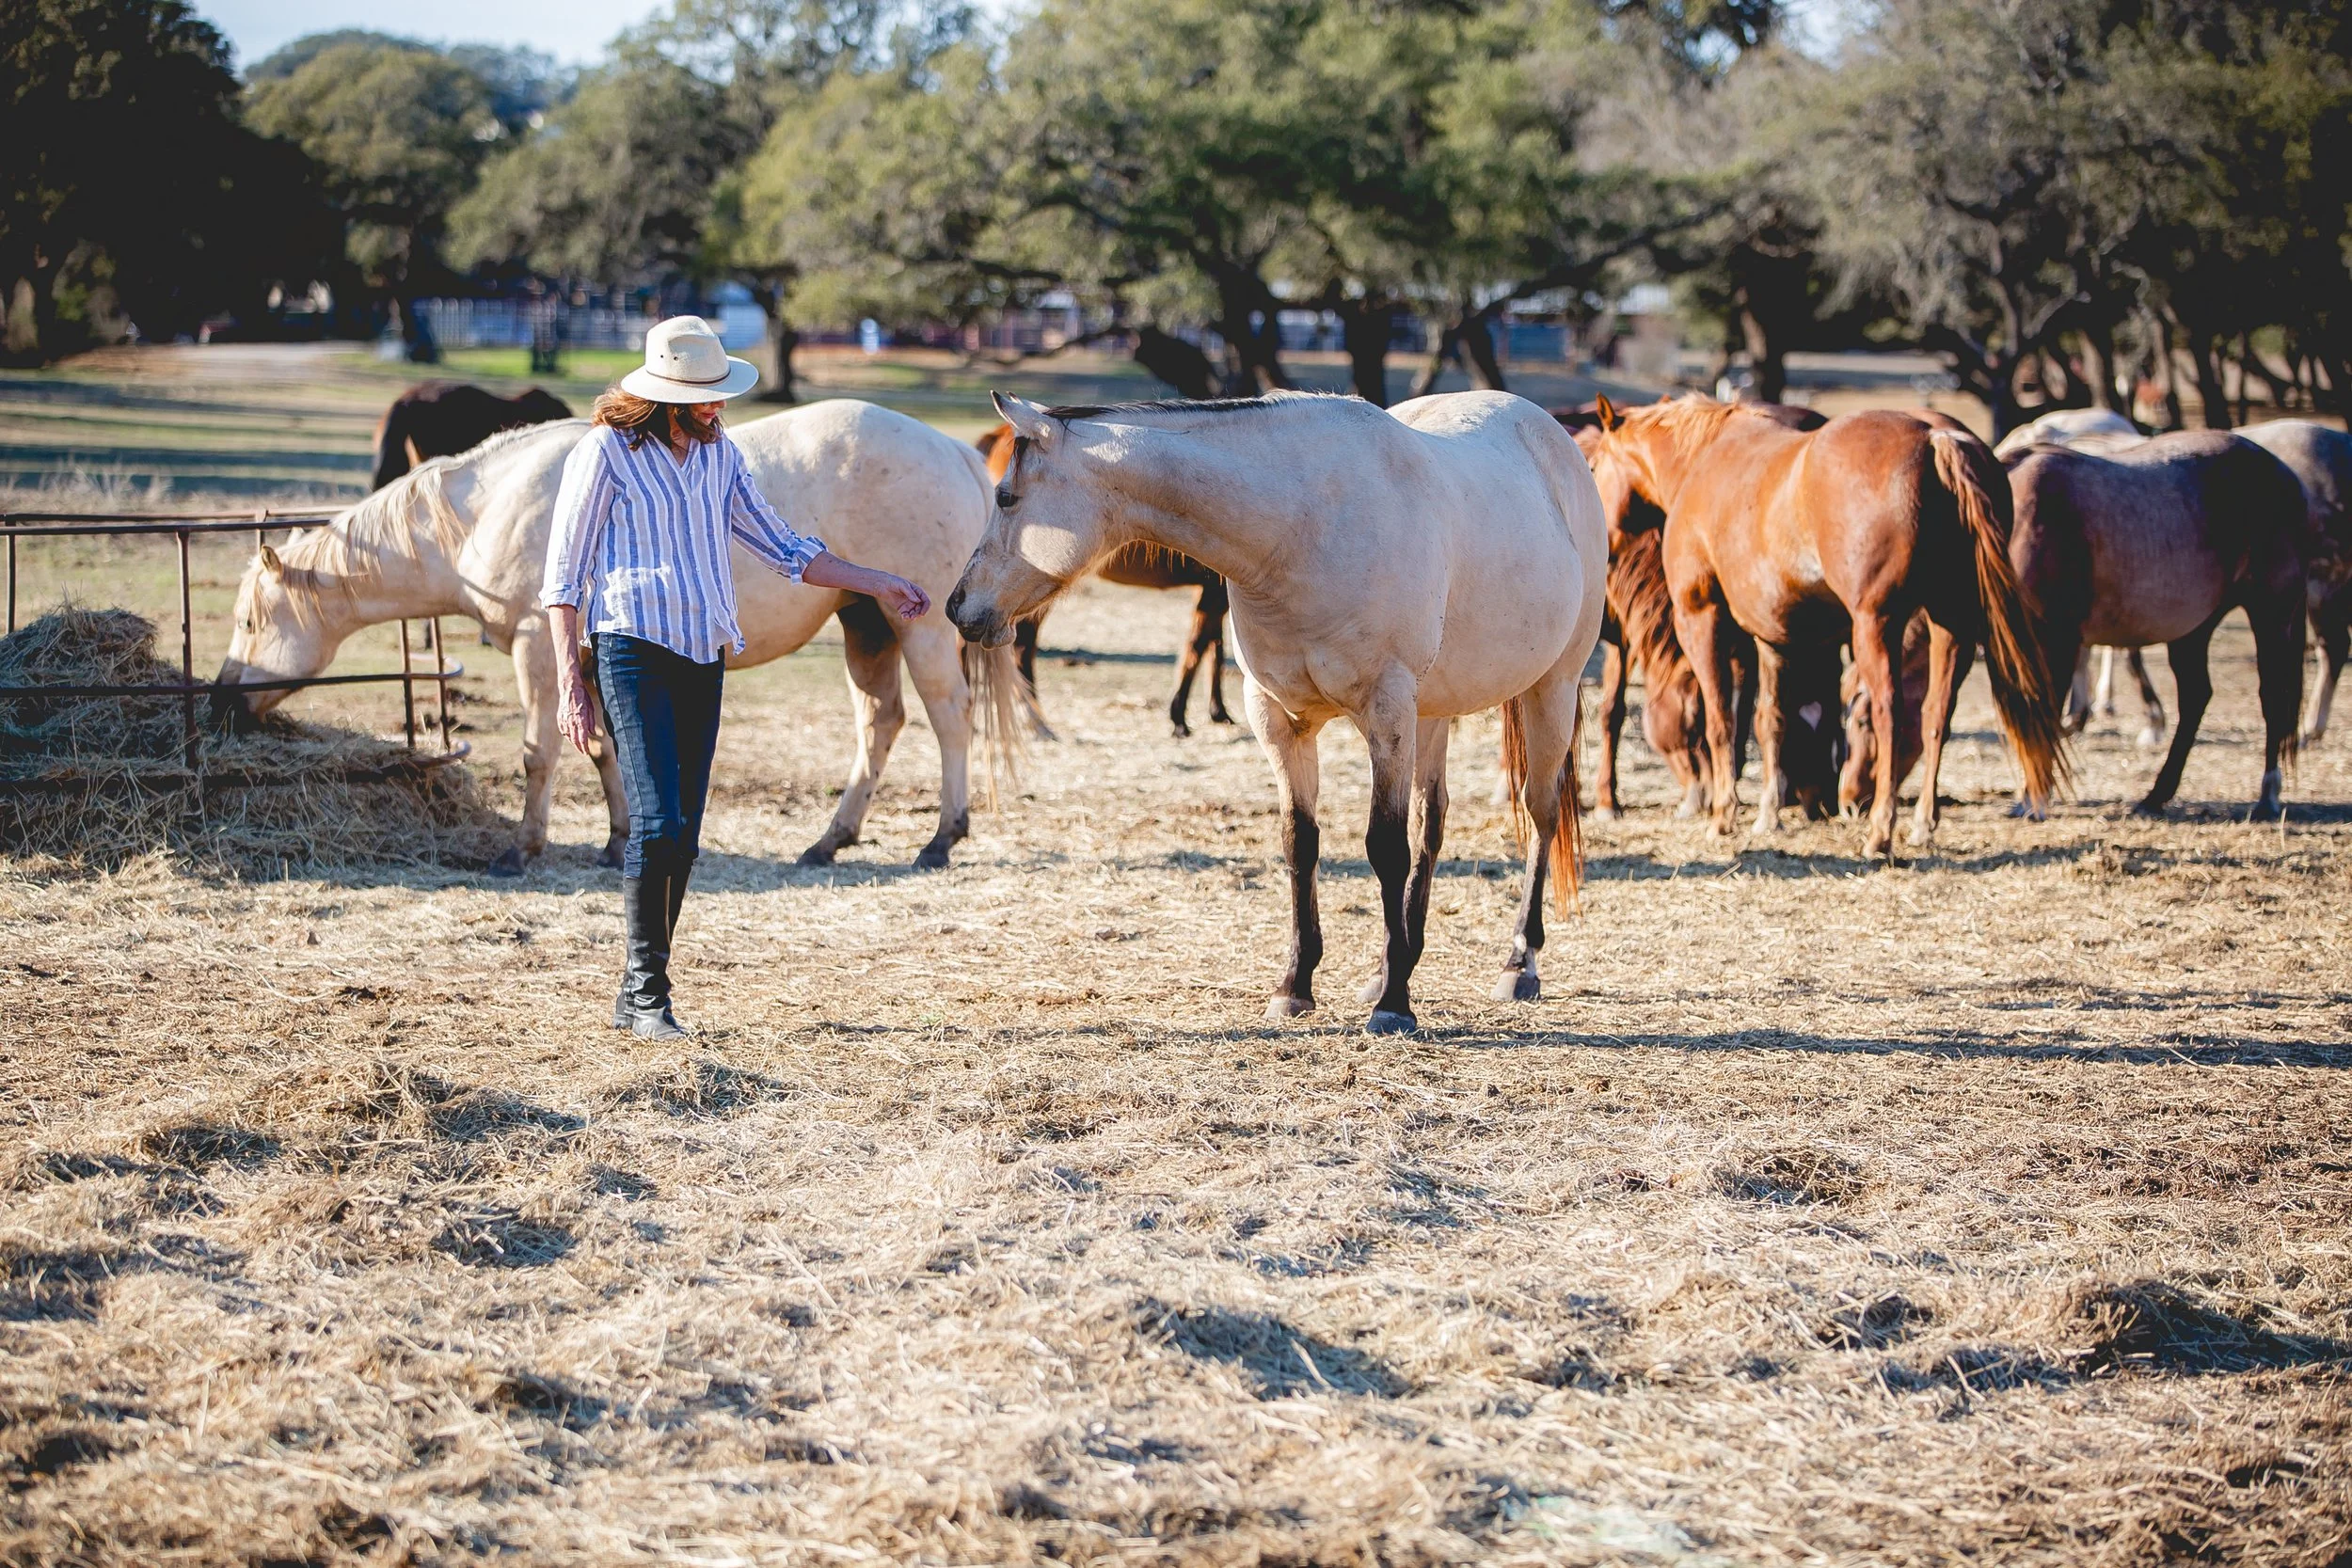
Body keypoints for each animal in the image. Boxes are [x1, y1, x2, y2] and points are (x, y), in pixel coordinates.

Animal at [218, 401, 1030, 873]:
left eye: (251, 621)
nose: (221, 699)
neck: (489, 507)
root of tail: (956, 451)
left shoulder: (537, 651)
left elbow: (540, 752)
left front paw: (523, 848)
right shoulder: (589, 654)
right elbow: (607, 748)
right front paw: (615, 840)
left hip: (917, 627)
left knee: (949, 718)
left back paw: (941, 839)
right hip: (865, 622)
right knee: (880, 723)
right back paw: (830, 840)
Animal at [973, 424, 1233, 737]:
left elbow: (1215, 647)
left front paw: (1218, 711)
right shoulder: (1217, 590)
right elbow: (1198, 645)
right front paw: (1179, 716)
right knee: (1021, 646)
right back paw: (1035, 720)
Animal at [1585, 396, 2064, 854]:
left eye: (1593, 467)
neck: (1702, 460)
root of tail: (1935, 440)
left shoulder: (1701, 619)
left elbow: (1721, 720)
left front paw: (1723, 817)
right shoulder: (1772, 639)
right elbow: (1770, 721)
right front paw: (1767, 816)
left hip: (1875, 625)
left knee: (1888, 710)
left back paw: (1880, 832)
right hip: (1951, 624)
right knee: (1935, 714)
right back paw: (1922, 826)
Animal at [1844, 432, 2308, 818]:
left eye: (1863, 722)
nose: (1849, 802)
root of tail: (2283, 472)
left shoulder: (2057, 638)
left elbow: (2045, 712)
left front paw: (2035, 798)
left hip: (2271, 609)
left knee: (2273, 697)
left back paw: (2268, 796)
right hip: (2194, 628)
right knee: (2196, 697)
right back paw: (2156, 795)